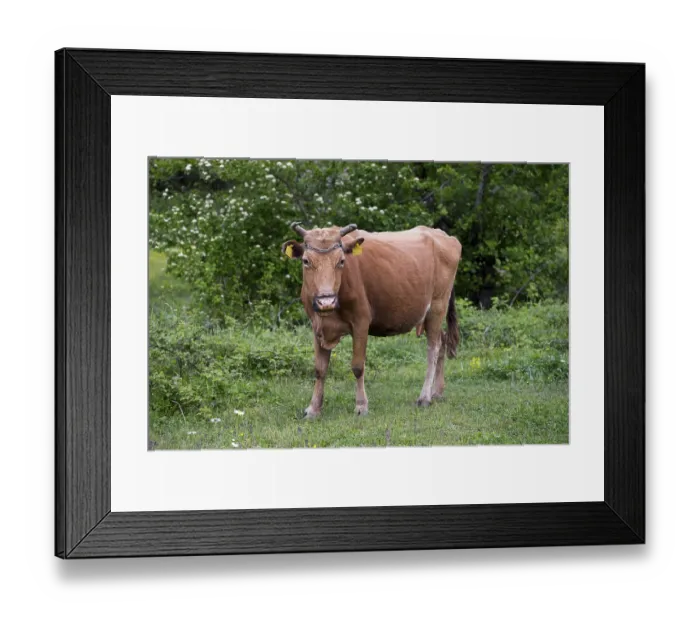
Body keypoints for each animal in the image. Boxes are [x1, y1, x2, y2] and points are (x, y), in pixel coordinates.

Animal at [282, 222, 462, 419]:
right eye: (306, 261)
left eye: (341, 261)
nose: (326, 301)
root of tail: (441, 234)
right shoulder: (317, 326)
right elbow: (320, 369)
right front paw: (313, 408)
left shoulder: (361, 321)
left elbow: (358, 366)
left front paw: (361, 406)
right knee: (442, 341)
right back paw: (437, 391)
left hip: (437, 305)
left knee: (433, 348)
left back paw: (424, 397)